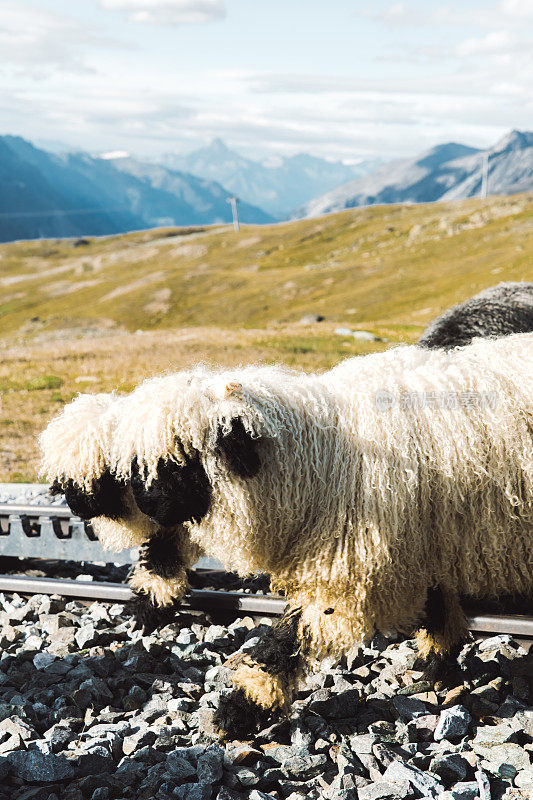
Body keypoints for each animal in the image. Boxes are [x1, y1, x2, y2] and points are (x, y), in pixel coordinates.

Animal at [109, 332, 532, 736]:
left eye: (180, 460)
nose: (148, 508)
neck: (326, 462)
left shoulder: (349, 567)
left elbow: (290, 638)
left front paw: (241, 710)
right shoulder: (425, 545)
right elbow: (438, 612)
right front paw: (438, 667)